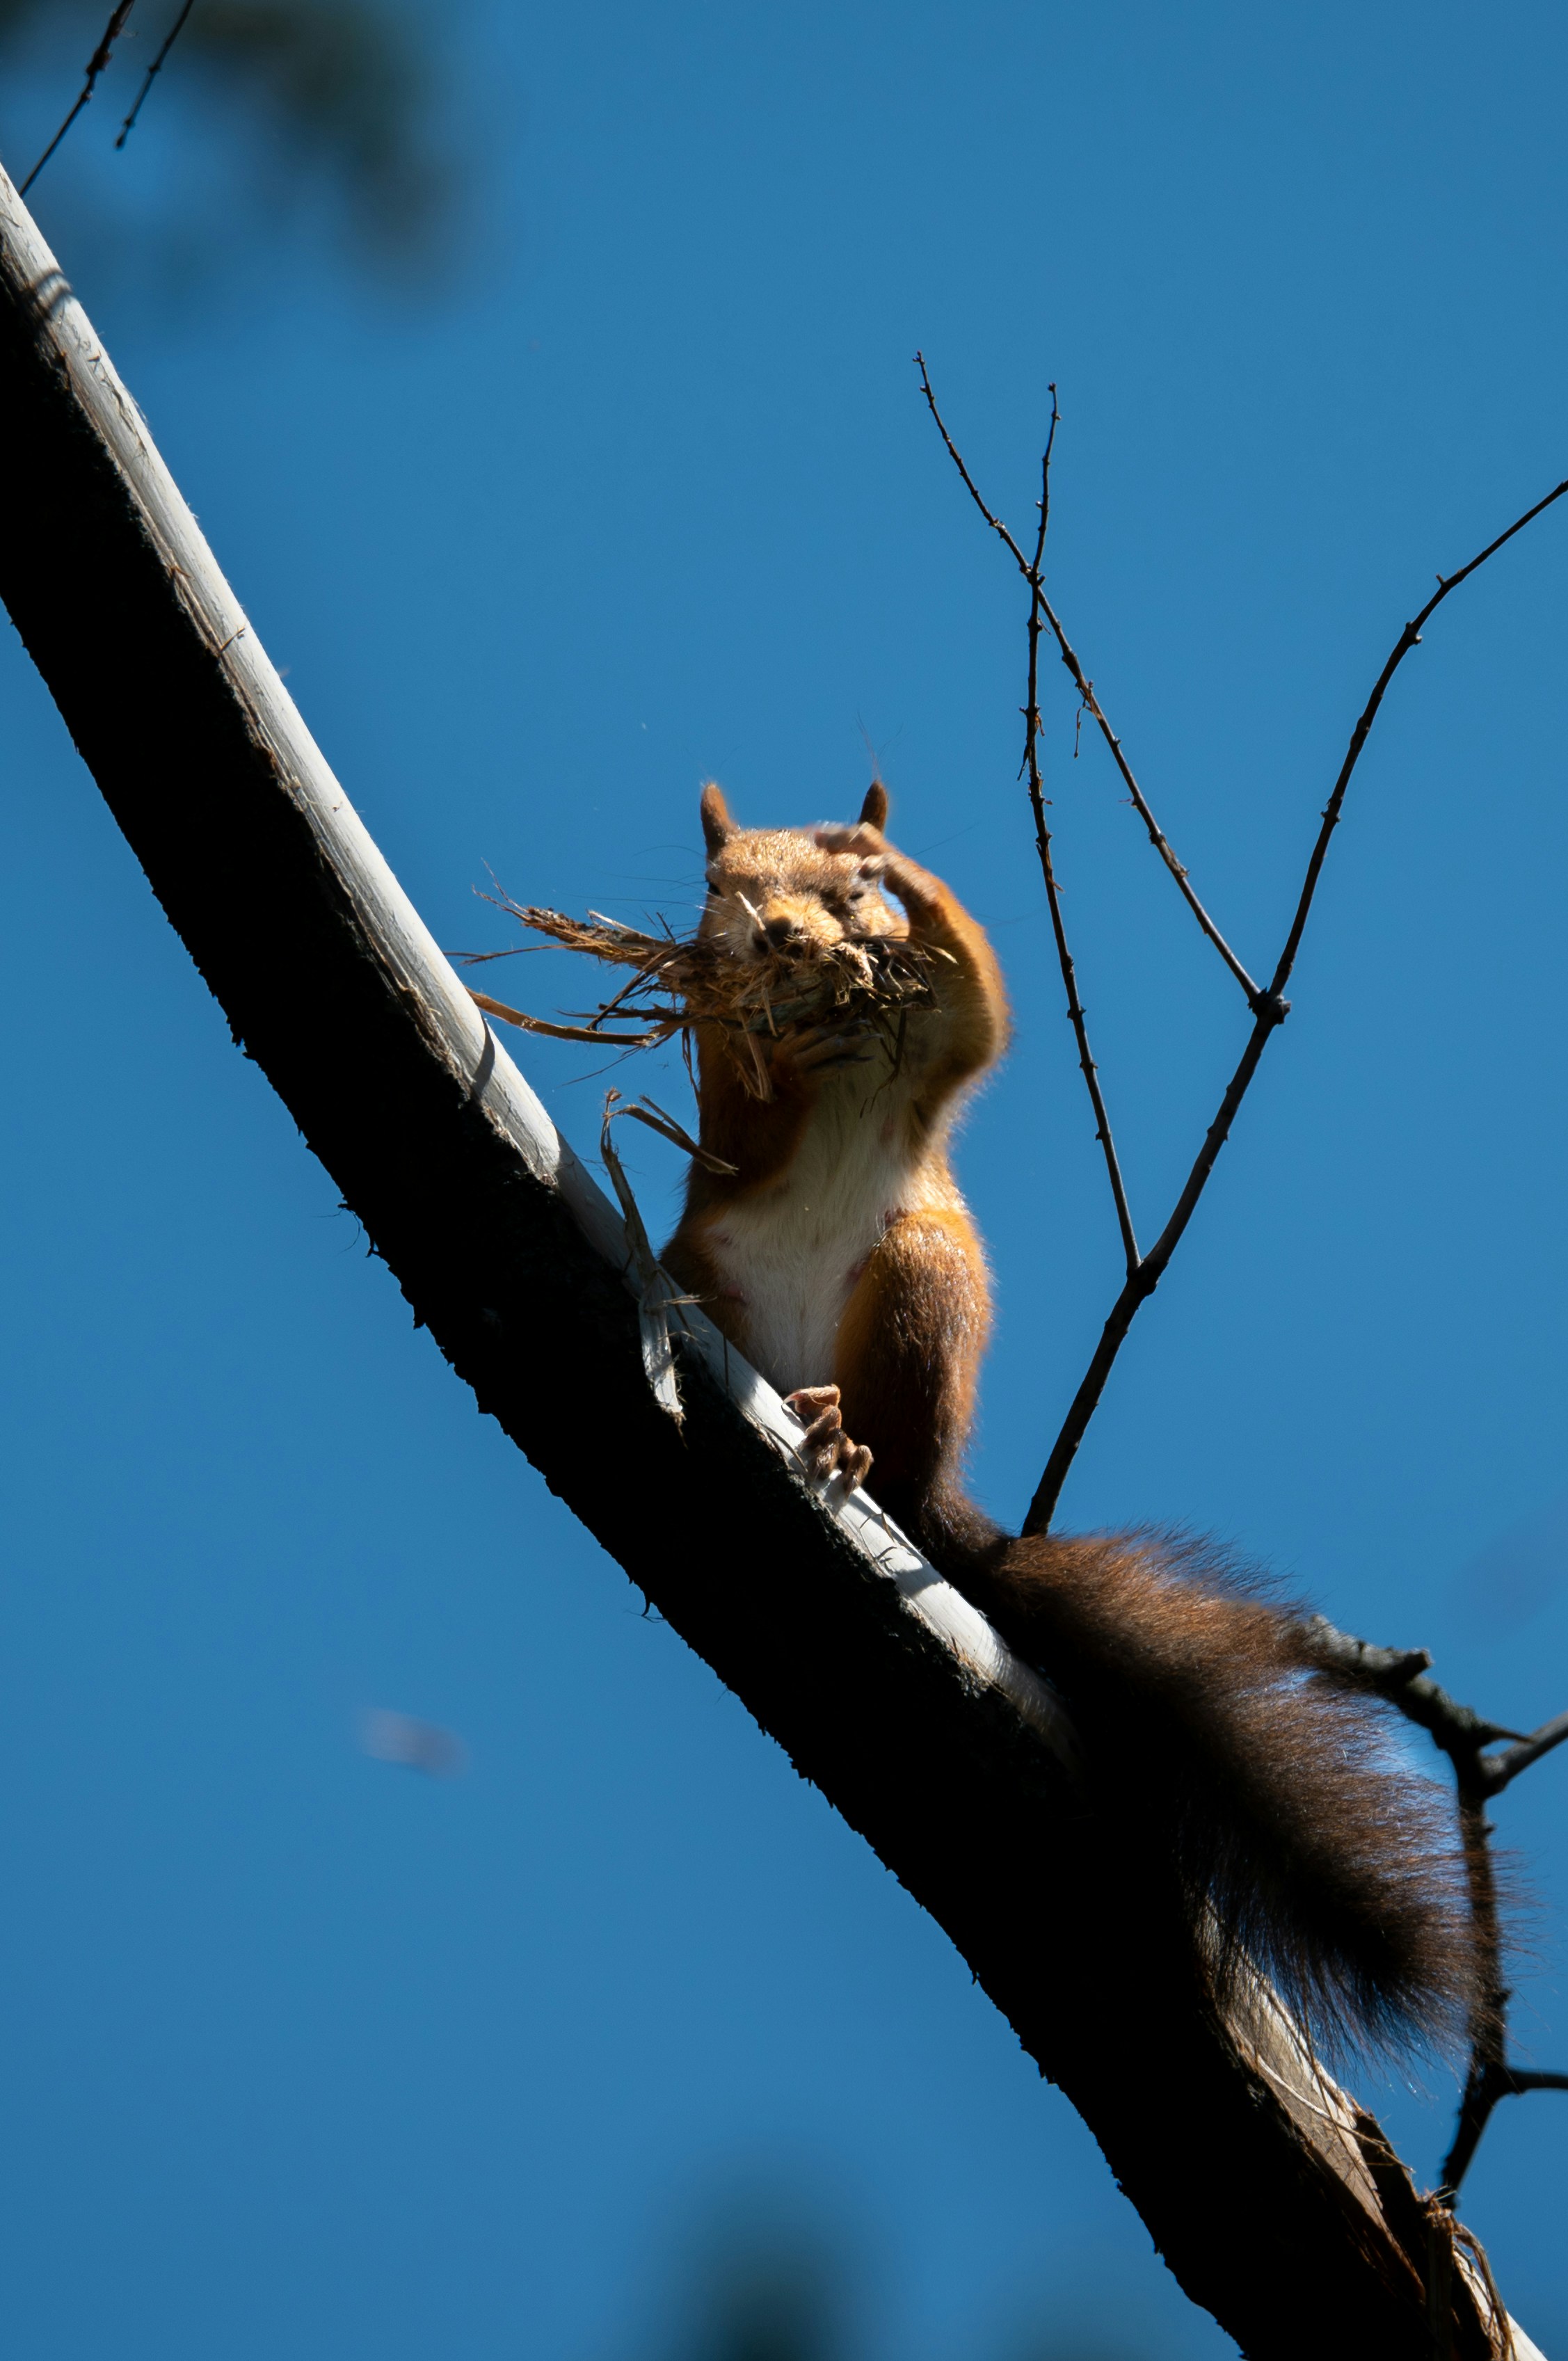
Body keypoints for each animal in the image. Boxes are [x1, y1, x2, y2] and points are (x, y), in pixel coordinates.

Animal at [663, 779, 1479, 2063]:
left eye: (854, 889)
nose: (786, 939)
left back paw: (847, 1438)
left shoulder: (940, 1042)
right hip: (707, 1268)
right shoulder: (715, 1089)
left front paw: (910, 879)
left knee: (894, 1435)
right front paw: (780, 1054)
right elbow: (738, 1133)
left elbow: (981, 1005)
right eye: (719, 886)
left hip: (920, 1283)